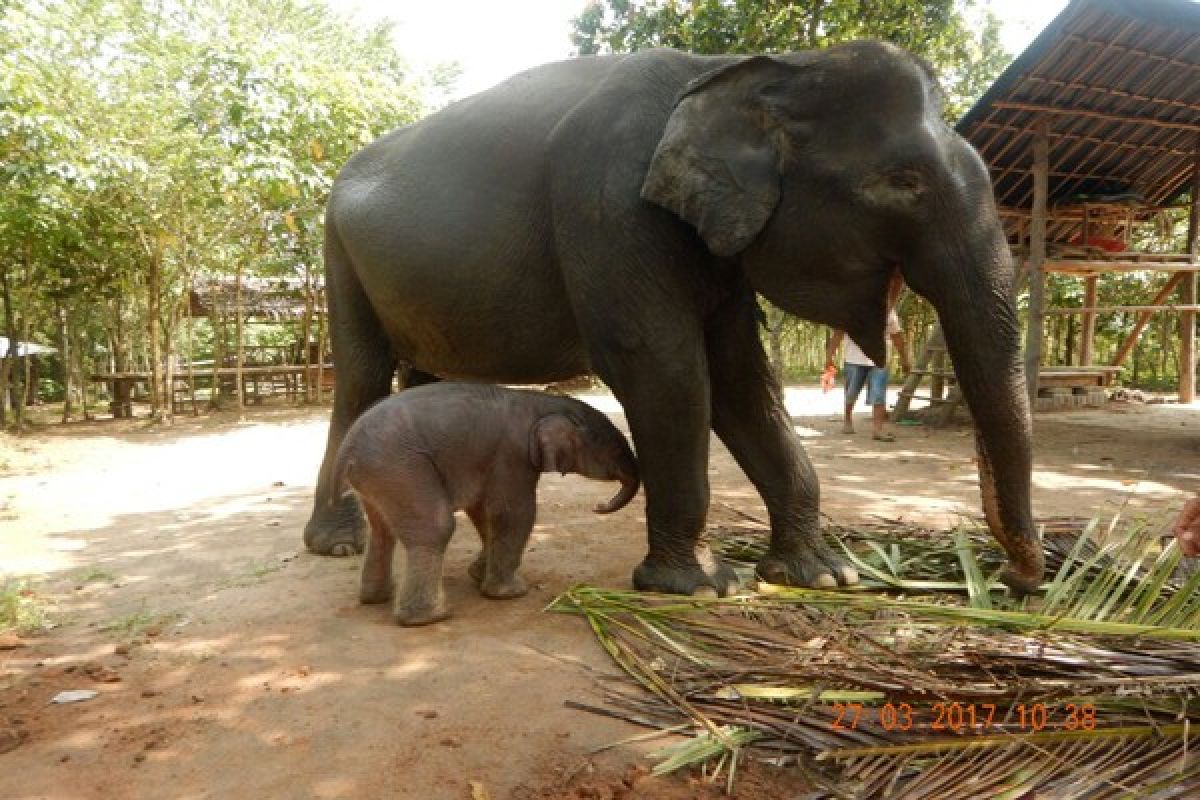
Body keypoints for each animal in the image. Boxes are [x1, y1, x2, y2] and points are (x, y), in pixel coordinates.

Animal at [300, 42, 1041, 594]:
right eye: (903, 183)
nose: (1015, 581)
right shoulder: (607, 203)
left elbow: (743, 379)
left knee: (418, 380)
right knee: (361, 378)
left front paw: (822, 576)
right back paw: (336, 545)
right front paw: (700, 586)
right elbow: (664, 367)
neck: (740, 70)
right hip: (337, 252)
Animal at [331, 381, 638, 623]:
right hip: (399, 468)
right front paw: (511, 593)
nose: (598, 506)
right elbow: (513, 513)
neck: (542, 403)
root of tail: (346, 448)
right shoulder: (513, 455)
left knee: (382, 531)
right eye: (614, 449)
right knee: (435, 528)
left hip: (378, 477)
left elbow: (482, 512)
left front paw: (477, 576)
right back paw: (433, 617)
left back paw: (377, 598)